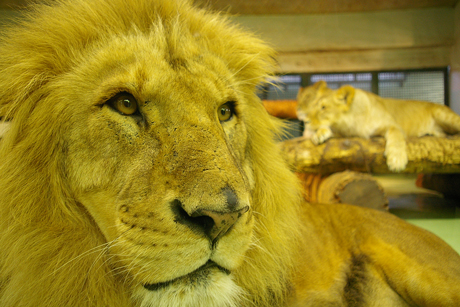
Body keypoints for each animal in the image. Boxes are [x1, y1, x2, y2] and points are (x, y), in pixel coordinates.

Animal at [296, 82, 460, 172]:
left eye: (323, 108)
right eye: (313, 105)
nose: (306, 121)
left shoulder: (392, 125)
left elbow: (396, 135)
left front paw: (396, 160)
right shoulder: (349, 134)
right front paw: (319, 134)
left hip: (445, 116)